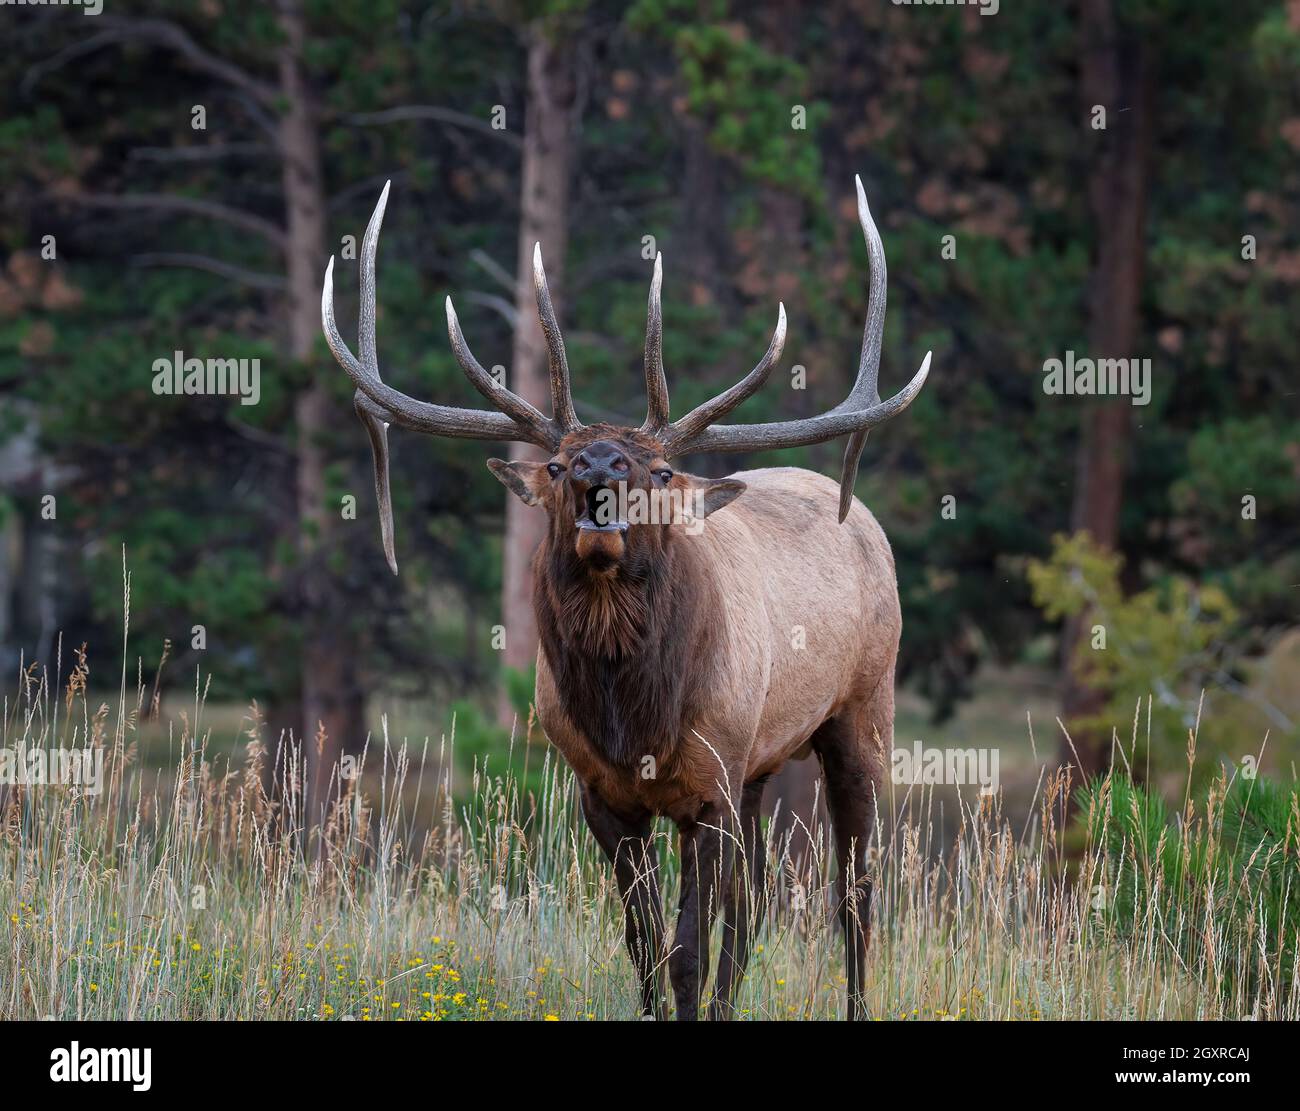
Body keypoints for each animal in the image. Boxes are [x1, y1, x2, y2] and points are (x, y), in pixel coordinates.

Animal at [319, 178, 930, 1018]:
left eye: (661, 471)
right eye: (556, 464)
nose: (599, 468)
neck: (633, 720)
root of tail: (862, 517)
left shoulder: (709, 787)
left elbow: (686, 951)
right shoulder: (605, 795)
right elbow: (644, 944)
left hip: (862, 712)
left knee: (854, 896)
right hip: (761, 764)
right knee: (755, 907)